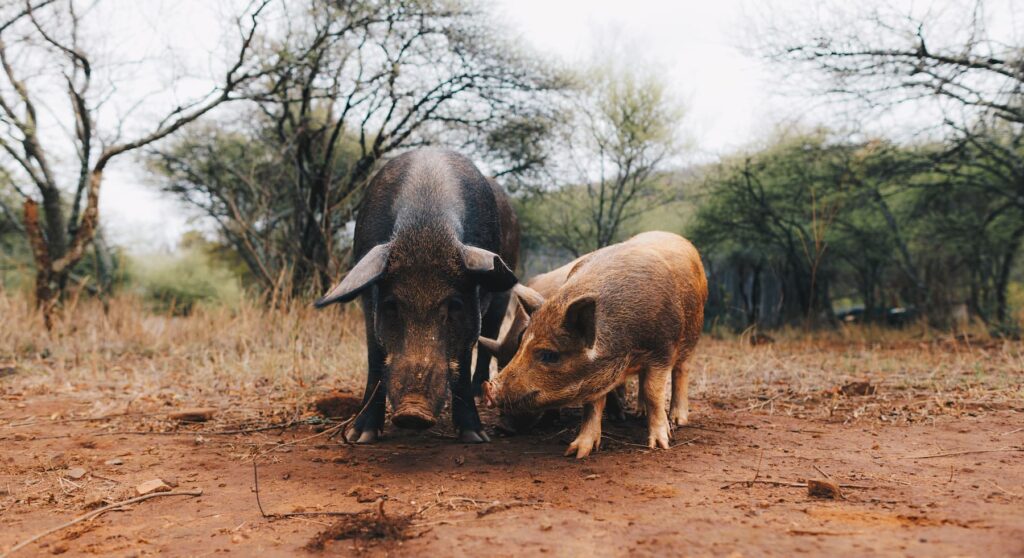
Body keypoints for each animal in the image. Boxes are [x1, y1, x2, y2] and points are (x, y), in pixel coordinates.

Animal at [483, 230, 708, 456]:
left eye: (550, 354)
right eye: (522, 344)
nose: (489, 388)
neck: (624, 347)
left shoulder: (662, 349)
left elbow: (653, 392)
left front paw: (660, 445)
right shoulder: (594, 372)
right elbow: (593, 404)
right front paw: (576, 452)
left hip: (691, 336)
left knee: (681, 372)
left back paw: (677, 420)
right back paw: (639, 413)